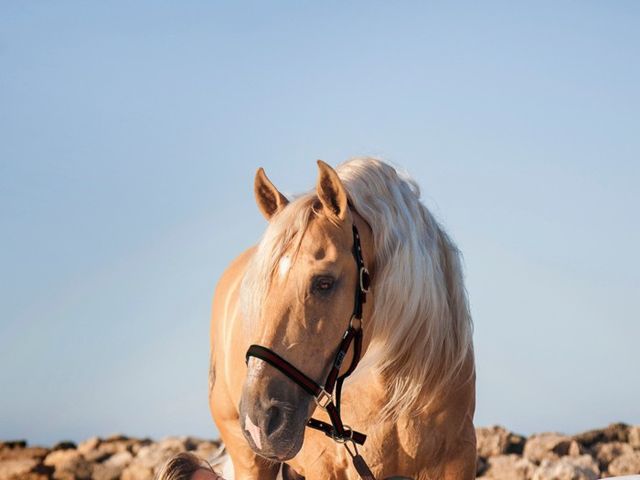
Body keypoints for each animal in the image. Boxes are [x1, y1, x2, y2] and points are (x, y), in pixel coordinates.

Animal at [210, 159, 476, 478]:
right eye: (260, 289)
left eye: (324, 283)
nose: (259, 421)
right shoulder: (326, 466)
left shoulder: (458, 458)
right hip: (249, 459)